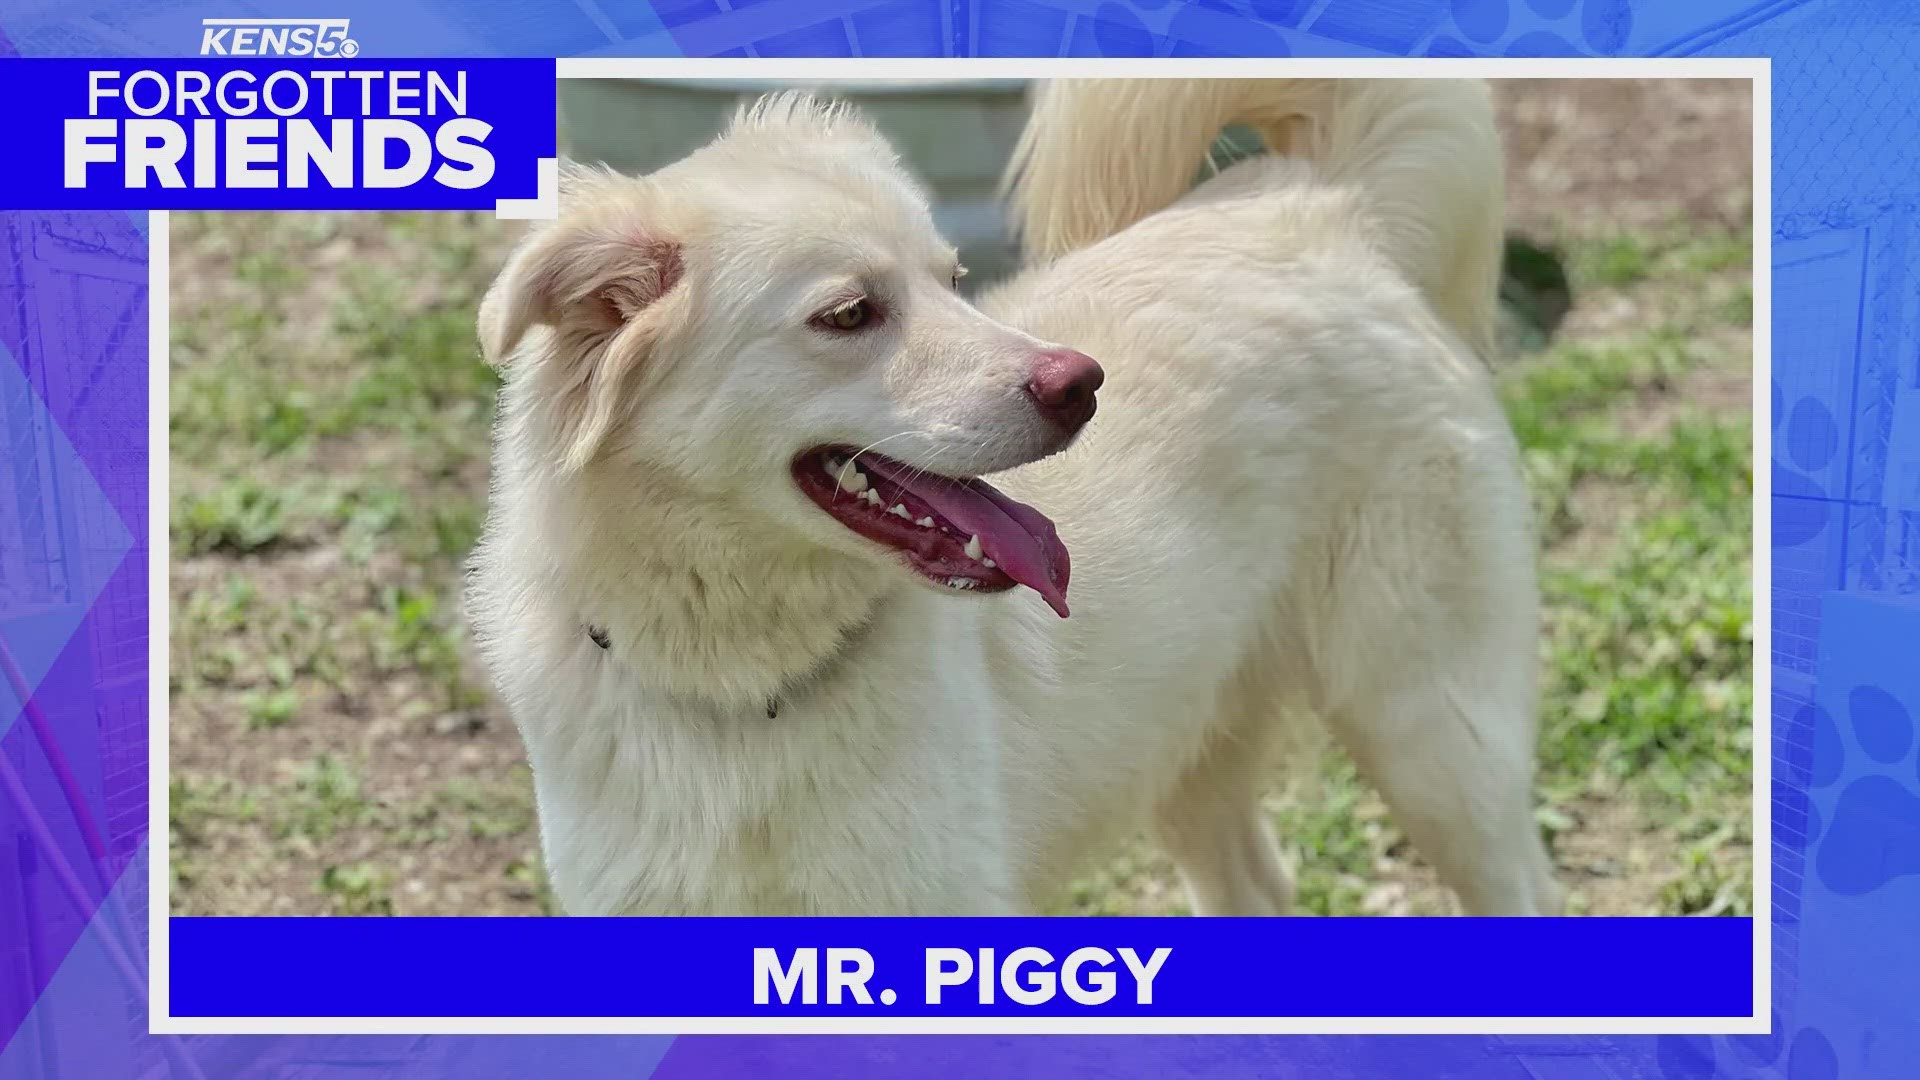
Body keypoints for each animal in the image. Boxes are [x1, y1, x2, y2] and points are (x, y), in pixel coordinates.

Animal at [464, 79, 1559, 910]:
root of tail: (1325, 199)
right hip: (1185, 753)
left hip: (1436, 744)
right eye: (849, 313)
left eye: (953, 280)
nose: (1083, 384)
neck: (743, 694)